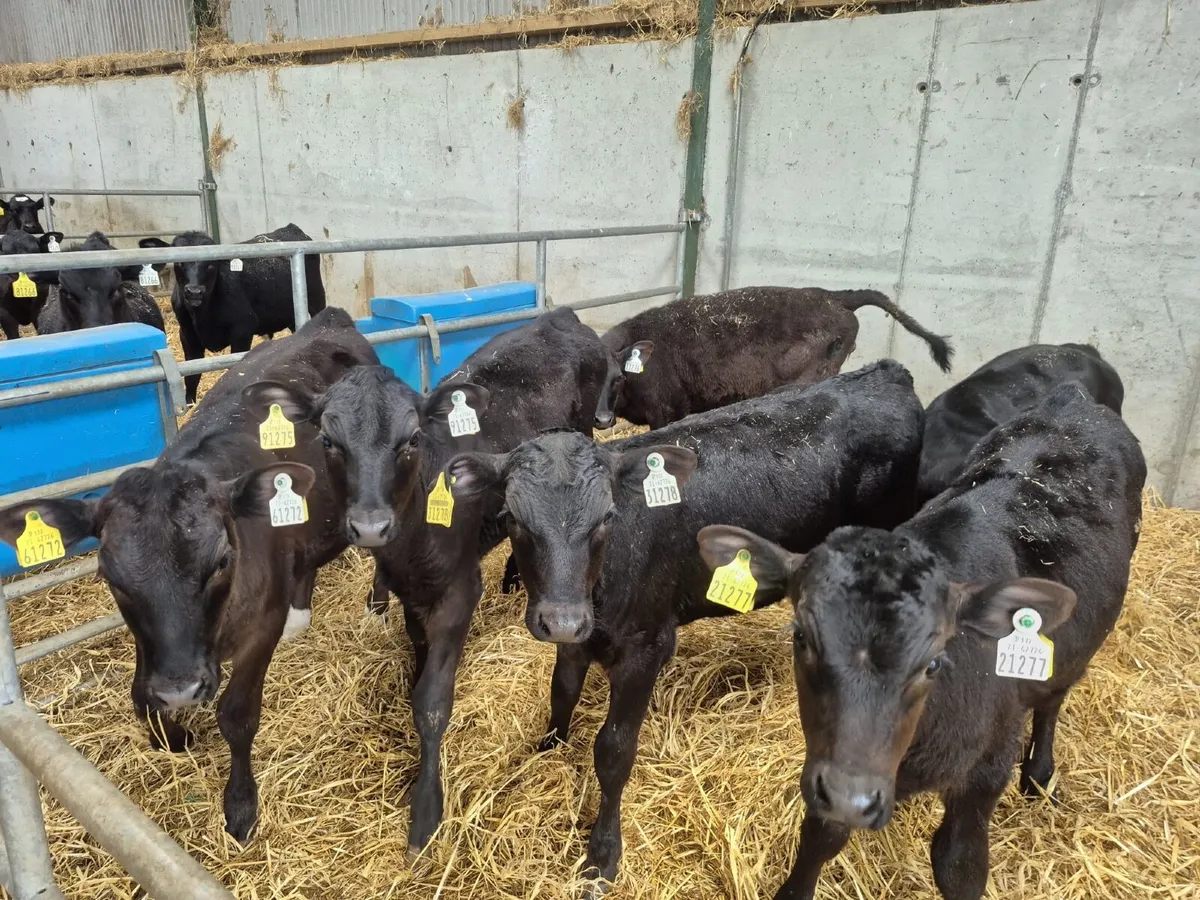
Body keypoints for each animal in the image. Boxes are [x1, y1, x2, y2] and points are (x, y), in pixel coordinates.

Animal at [0, 308, 378, 842]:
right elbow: (143, 702)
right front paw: (174, 735)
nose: (181, 690)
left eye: (221, 561)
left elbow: (237, 716)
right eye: (111, 577)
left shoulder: (258, 630)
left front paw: (240, 806)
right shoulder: (151, 649)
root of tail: (327, 320)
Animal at [140, 224, 327, 404]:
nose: (194, 291)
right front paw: (189, 405)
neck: (203, 316)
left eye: (211, 263)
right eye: (178, 262)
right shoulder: (187, 334)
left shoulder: (243, 329)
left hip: (317, 299)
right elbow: (192, 375)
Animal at [240, 306, 613, 853]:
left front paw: (425, 809)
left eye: (412, 439)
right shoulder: (409, 590)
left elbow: (434, 702)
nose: (370, 525)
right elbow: (417, 653)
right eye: (328, 441)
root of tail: (561, 318)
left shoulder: (460, 591)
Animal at [443, 360, 925, 891]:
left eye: (606, 517)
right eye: (513, 518)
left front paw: (603, 854)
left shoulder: (646, 647)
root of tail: (884, 372)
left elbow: (614, 751)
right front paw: (542, 754)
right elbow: (561, 691)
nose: (563, 620)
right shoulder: (579, 633)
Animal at [696, 384, 1145, 900]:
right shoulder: (835, 763)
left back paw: (1039, 773)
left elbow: (959, 864)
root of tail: (1073, 400)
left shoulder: (985, 770)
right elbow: (819, 836)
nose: (851, 798)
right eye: (801, 637)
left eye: (933, 663)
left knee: (1054, 696)